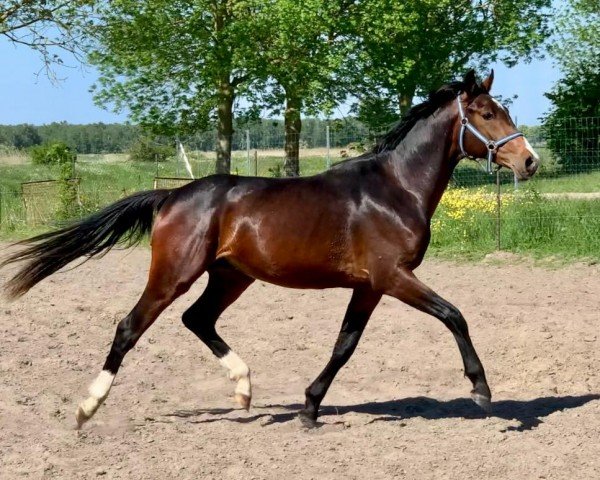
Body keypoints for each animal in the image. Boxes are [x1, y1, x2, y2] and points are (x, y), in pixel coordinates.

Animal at [1, 70, 540, 428]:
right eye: (487, 114)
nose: (529, 161)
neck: (394, 189)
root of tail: (171, 196)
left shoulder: (370, 286)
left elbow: (345, 345)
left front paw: (309, 408)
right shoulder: (394, 276)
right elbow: (454, 316)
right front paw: (482, 392)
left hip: (231, 275)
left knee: (198, 319)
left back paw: (243, 390)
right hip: (174, 274)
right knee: (130, 327)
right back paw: (87, 407)